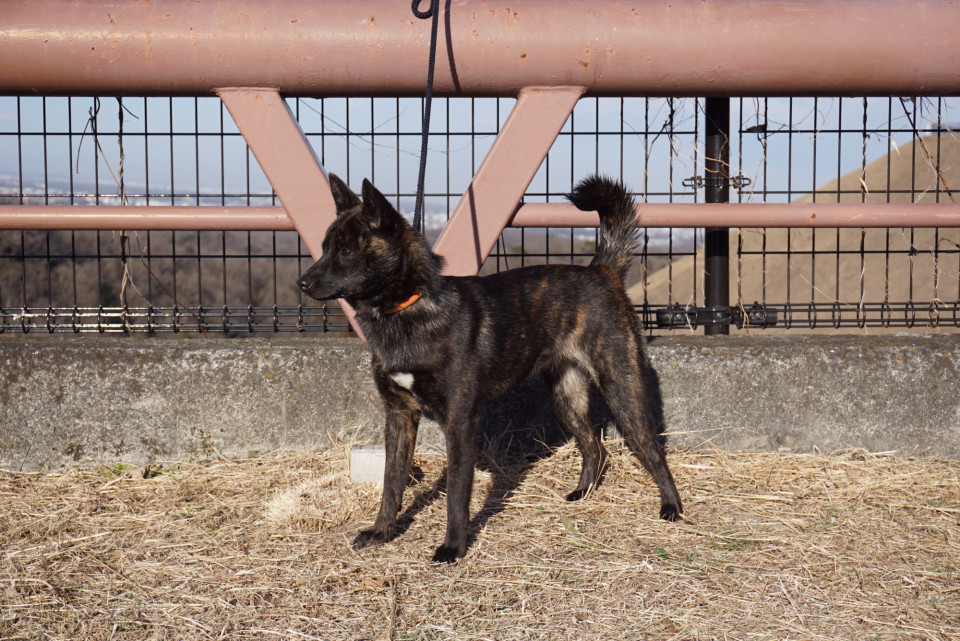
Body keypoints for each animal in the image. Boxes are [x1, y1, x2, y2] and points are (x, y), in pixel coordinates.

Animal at [296, 174, 680, 560]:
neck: (407, 309)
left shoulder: (460, 423)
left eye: (347, 251)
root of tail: (601, 270)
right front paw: (382, 532)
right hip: (566, 399)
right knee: (594, 447)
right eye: (325, 247)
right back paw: (582, 493)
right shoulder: (399, 416)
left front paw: (452, 547)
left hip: (622, 390)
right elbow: (391, 483)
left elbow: (456, 494)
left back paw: (672, 507)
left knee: (652, 450)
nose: (302, 282)